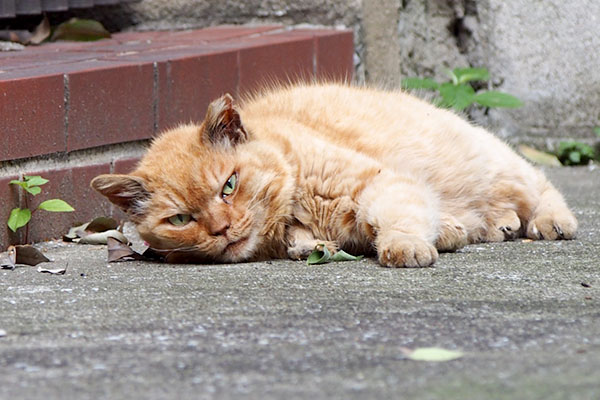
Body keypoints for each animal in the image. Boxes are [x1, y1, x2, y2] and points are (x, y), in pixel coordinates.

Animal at [90, 83, 576, 268]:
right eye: (180, 220)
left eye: (229, 184)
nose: (221, 229)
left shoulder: (382, 184)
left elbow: (399, 219)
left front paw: (406, 246)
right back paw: (498, 224)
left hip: (491, 166)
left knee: (539, 184)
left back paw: (550, 221)